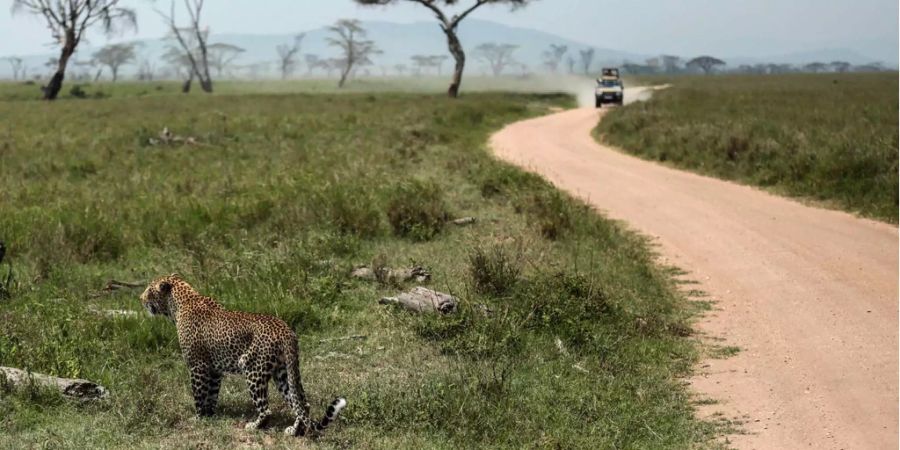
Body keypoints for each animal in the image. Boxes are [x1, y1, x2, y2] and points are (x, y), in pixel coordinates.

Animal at [139, 274, 346, 436]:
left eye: (149, 290)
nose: (140, 299)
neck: (179, 304)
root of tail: (286, 330)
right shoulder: (214, 370)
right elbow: (212, 394)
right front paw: (210, 416)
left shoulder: (197, 366)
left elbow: (199, 394)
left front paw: (197, 418)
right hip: (282, 373)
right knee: (301, 403)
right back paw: (294, 430)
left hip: (252, 368)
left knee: (267, 410)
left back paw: (254, 426)